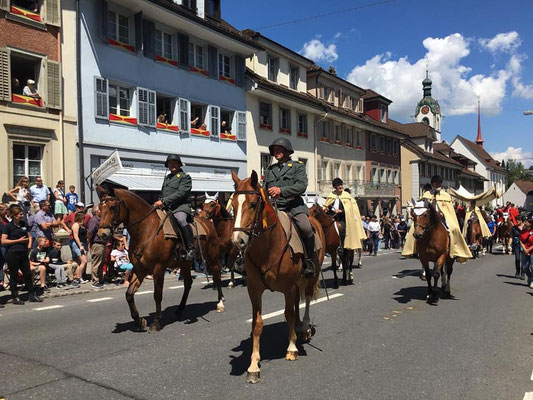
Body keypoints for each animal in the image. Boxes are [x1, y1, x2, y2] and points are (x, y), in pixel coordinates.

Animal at [97, 188, 224, 334]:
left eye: (112, 207)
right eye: (100, 208)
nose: (102, 234)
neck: (146, 229)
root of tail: (207, 221)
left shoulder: (158, 269)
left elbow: (157, 295)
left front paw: (156, 323)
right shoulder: (139, 269)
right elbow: (129, 294)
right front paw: (139, 321)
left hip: (212, 259)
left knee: (217, 275)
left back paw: (220, 303)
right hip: (185, 263)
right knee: (188, 283)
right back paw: (180, 309)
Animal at [232, 170, 326, 382]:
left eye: (252, 204)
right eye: (232, 205)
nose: (237, 241)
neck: (268, 246)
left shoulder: (288, 286)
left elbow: (288, 313)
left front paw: (291, 349)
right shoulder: (254, 289)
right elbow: (257, 323)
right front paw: (253, 366)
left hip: (309, 276)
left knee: (307, 299)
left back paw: (304, 328)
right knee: (298, 302)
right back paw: (298, 327)